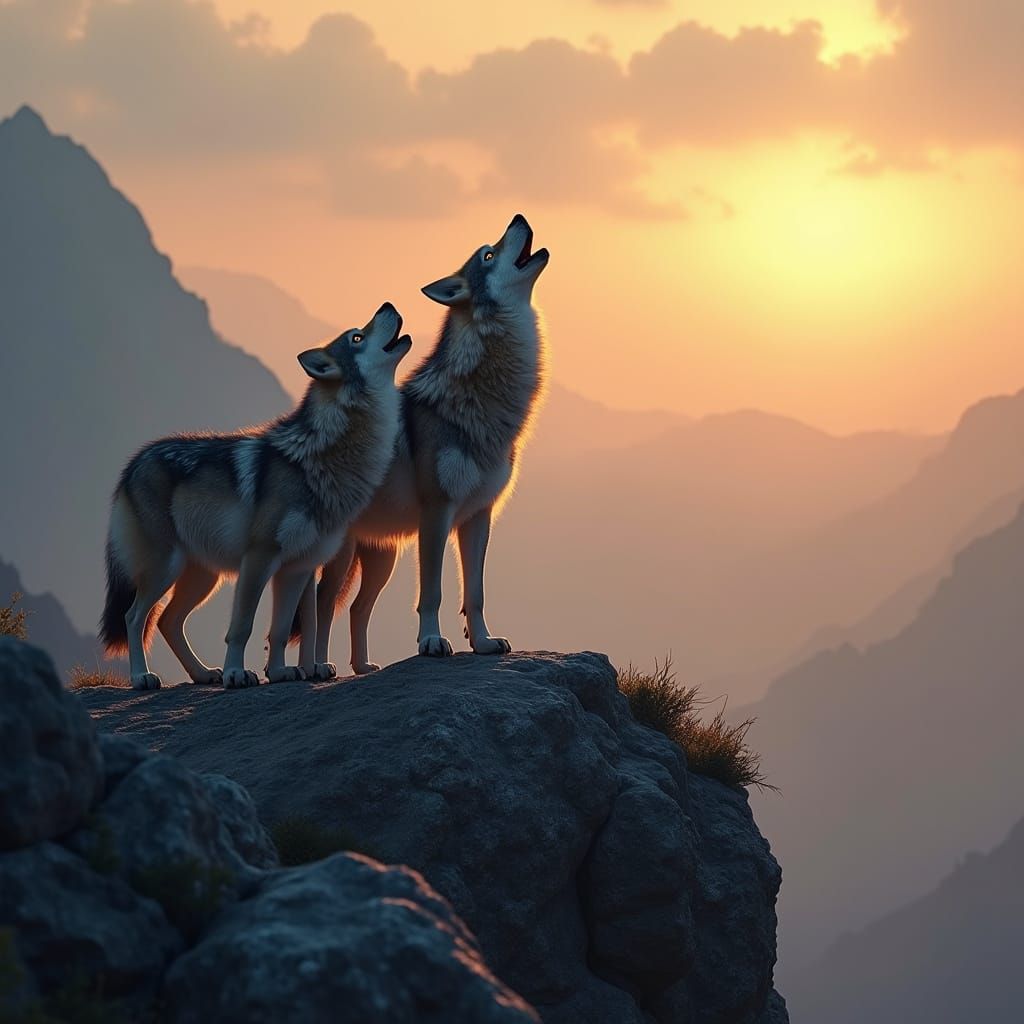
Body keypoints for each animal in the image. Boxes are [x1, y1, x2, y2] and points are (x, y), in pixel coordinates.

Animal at [100, 303, 411, 690]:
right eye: (356, 337)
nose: (388, 305)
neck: (321, 459)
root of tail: (135, 461)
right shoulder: (259, 558)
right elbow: (243, 627)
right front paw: (237, 673)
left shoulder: (296, 568)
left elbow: (280, 630)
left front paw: (279, 672)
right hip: (165, 568)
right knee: (134, 617)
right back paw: (142, 677)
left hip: (204, 577)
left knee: (167, 620)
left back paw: (203, 673)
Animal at [310, 214, 549, 672]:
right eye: (487, 254)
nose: (518, 217)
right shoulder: (437, 514)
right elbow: (432, 592)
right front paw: (432, 642)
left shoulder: (478, 517)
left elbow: (475, 593)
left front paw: (484, 642)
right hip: (341, 557)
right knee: (321, 605)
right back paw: (313, 668)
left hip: (382, 558)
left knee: (356, 609)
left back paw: (363, 667)